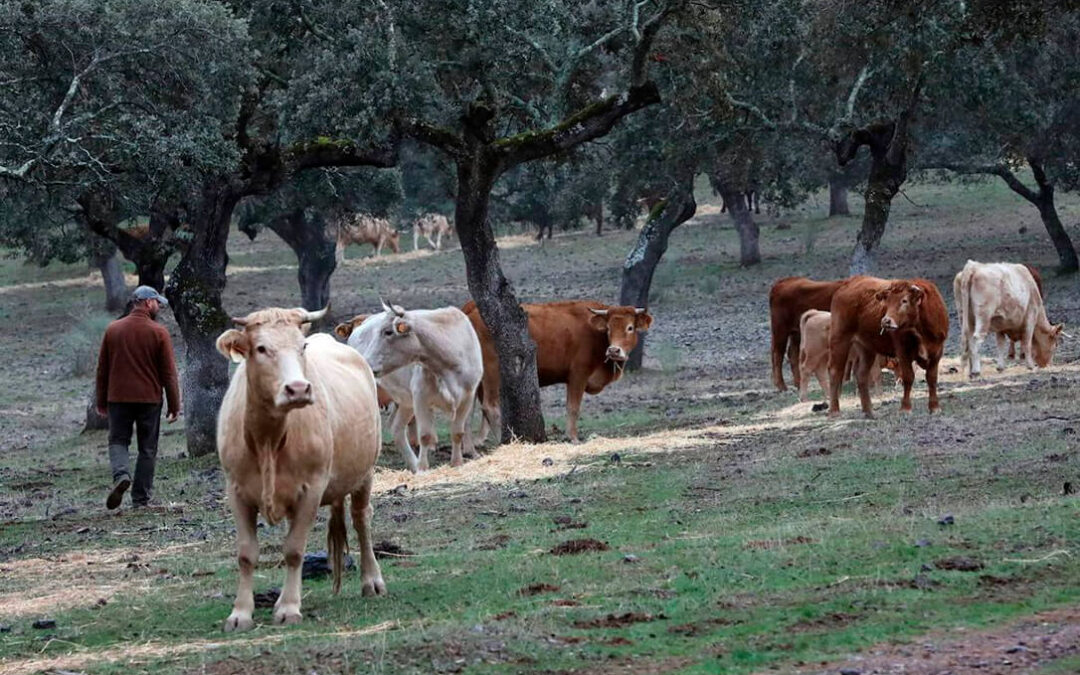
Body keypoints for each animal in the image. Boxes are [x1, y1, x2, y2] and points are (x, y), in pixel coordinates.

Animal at [213, 308, 384, 630]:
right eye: (261, 348)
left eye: (301, 346)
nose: (298, 389)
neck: (267, 440)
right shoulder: (236, 491)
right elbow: (246, 554)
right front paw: (240, 613)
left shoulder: (311, 489)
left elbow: (293, 550)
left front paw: (289, 607)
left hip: (365, 473)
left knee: (361, 521)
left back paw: (372, 581)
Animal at [347, 302, 483, 470]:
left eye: (388, 332)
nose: (366, 362)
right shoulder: (421, 397)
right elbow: (425, 436)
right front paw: (423, 468)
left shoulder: (467, 397)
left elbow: (458, 432)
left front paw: (456, 463)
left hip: (405, 402)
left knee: (397, 429)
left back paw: (413, 464)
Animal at [462, 300, 648, 442]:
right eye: (609, 328)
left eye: (630, 327)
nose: (614, 350)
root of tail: (471, 308)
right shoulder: (578, 374)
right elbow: (573, 407)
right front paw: (573, 437)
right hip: (492, 371)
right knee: (489, 407)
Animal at [825, 275, 946, 416]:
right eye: (886, 302)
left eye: (904, 300)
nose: (885, 321)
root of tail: (849, 283)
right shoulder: (903, 352)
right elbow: (908, 377)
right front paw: (905, 408)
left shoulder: (937, 352)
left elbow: (932, 378)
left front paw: (934, 407)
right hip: (839, 339)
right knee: (835, 371)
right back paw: (834, 410)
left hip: (866, 347)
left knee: (861, 374)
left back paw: (869, 411)